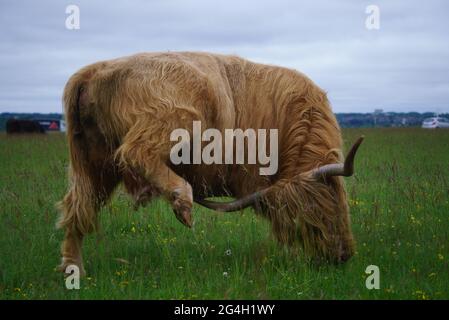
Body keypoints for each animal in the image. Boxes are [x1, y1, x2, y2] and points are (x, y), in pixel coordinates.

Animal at [57, 51, 362, 274]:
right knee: (134, 152)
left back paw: (74, 270)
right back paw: (182, 200)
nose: (344, 255)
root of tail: (94, 70)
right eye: (323, 206)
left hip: (93, 163)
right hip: (177, 116)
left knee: (78, 209)